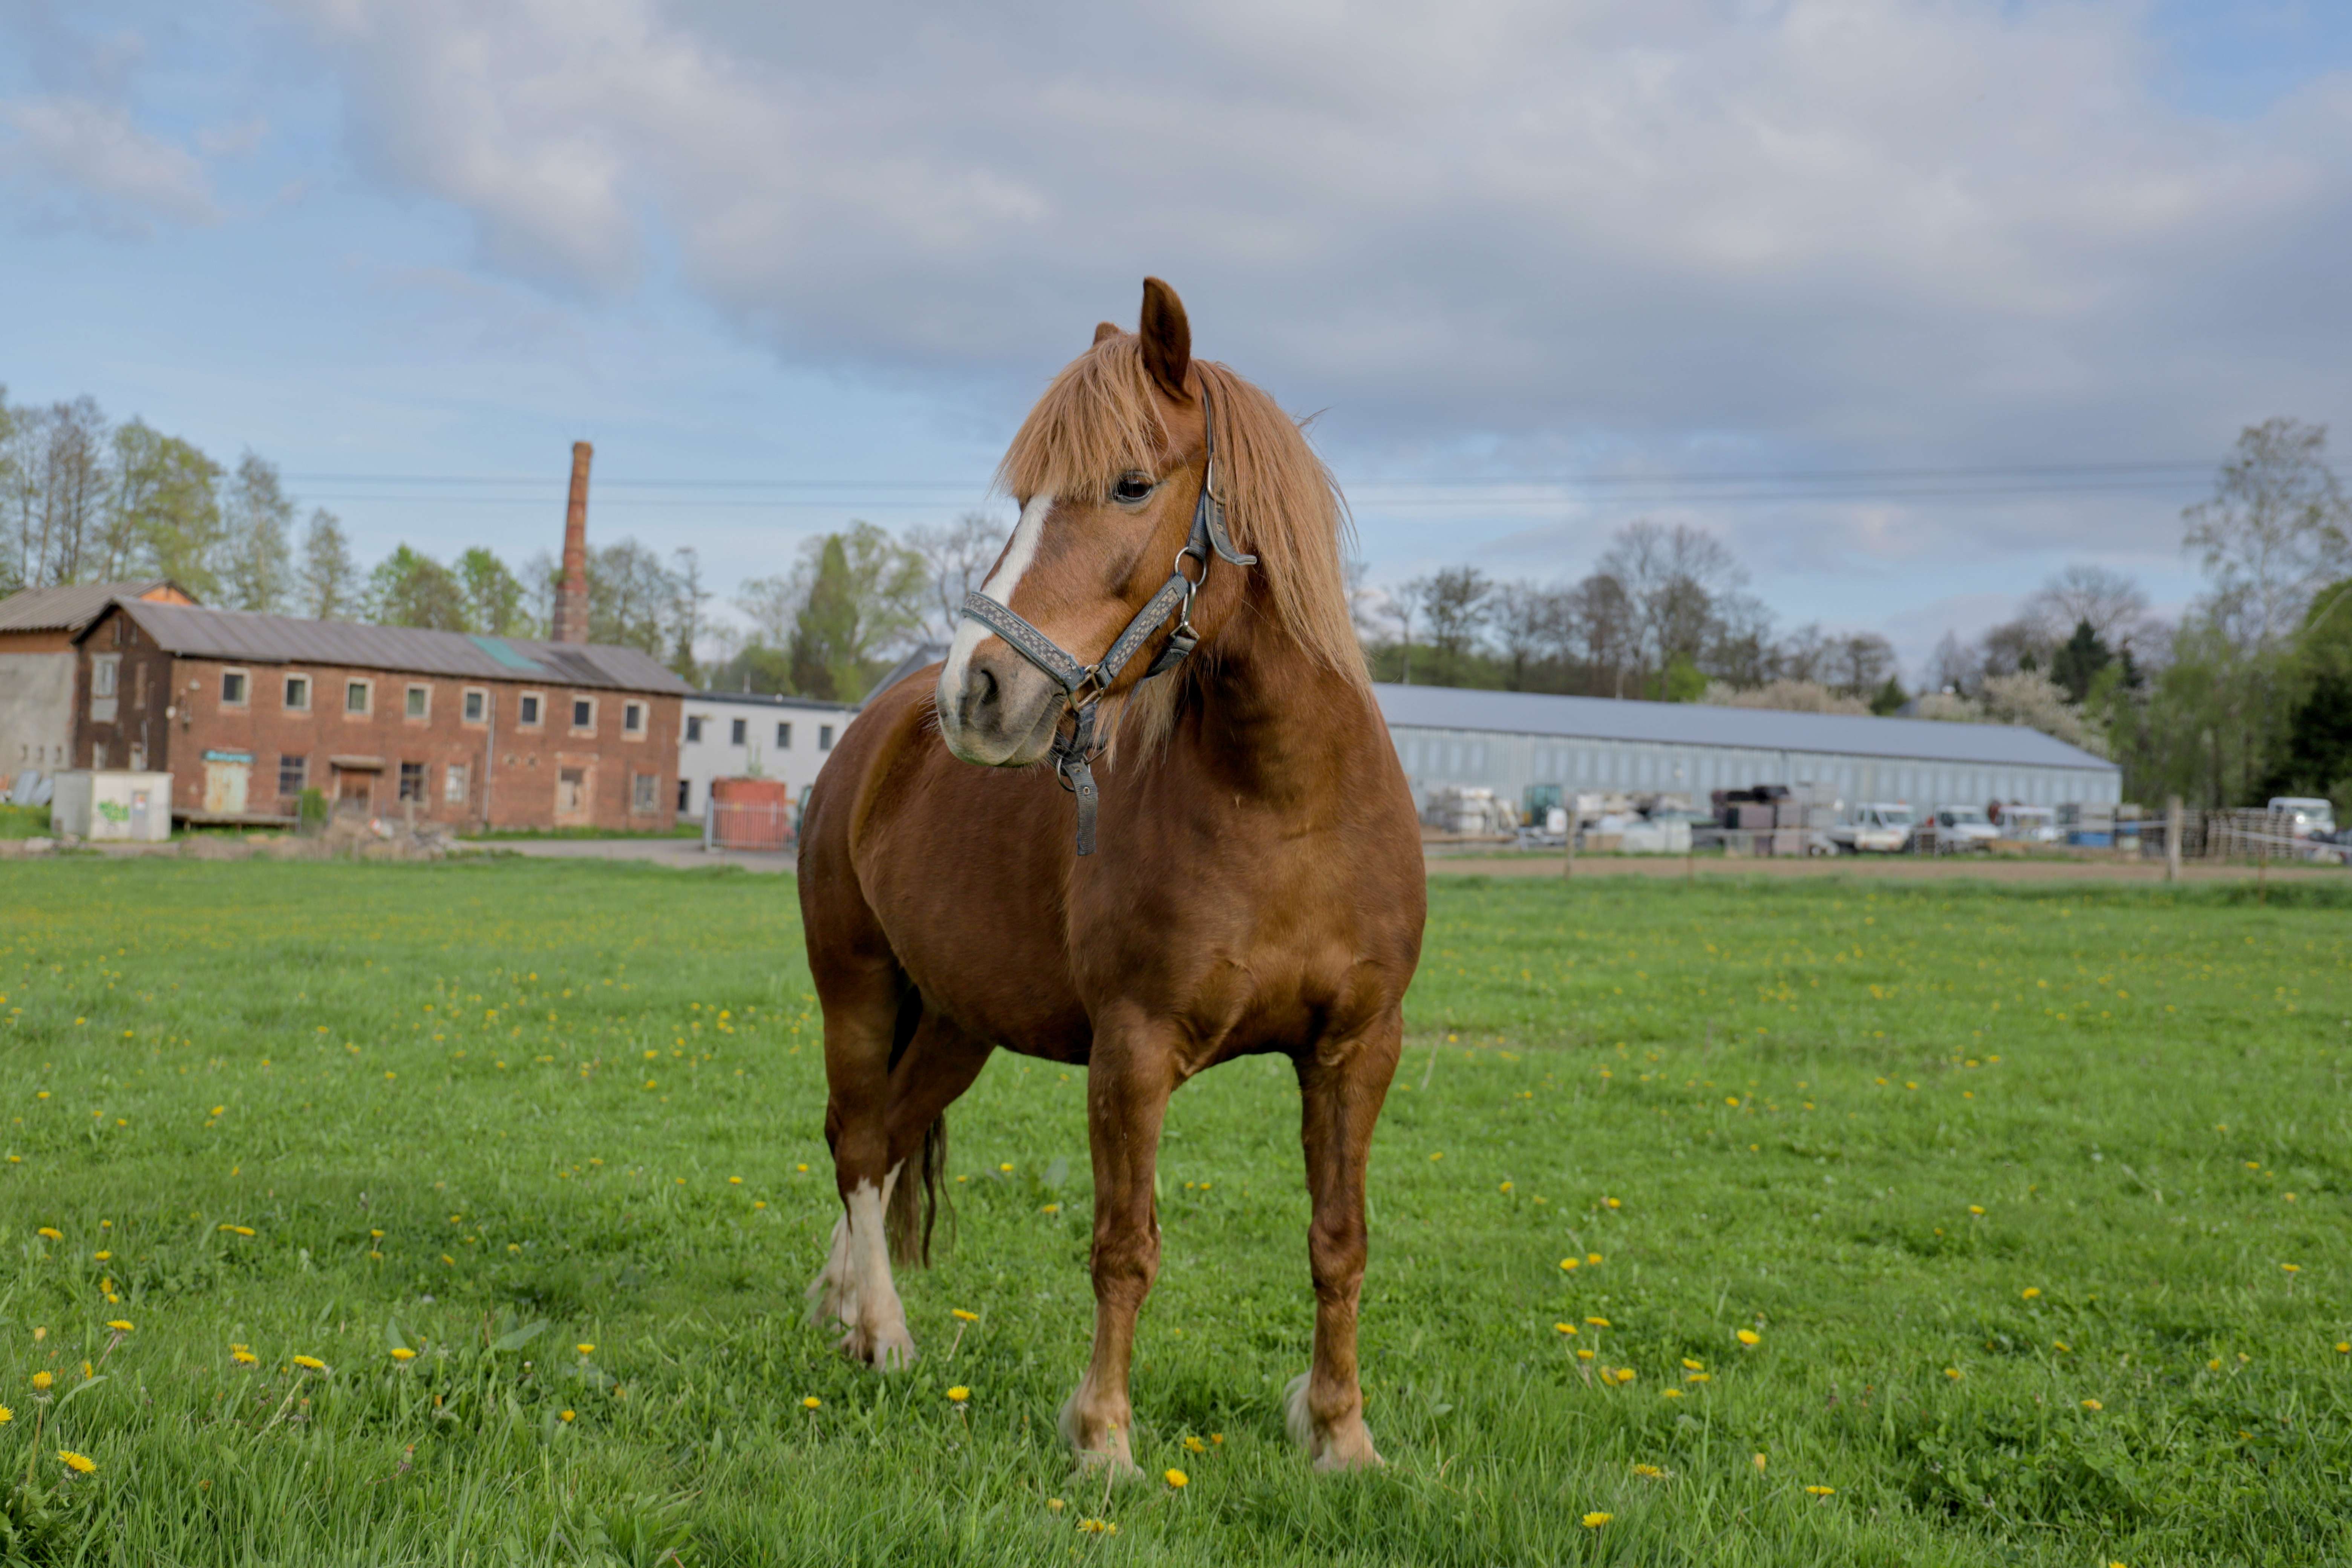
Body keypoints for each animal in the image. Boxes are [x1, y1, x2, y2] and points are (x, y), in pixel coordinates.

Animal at [799, 279, 1420, 1476]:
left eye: (1132, 482)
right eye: (1025, 495)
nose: (976, 694)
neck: (1287, 806)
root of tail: (873, 733)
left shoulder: (1356, 1049)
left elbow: (1340, 1241)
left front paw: (1341, 1435)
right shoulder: (1131, 1052)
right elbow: (1125, 1246)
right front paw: (1105, 1441)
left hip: (957, 1023)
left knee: (887, 1142)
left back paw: (844, 1304)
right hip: (855, 988)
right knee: (853, 1142)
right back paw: (880, 1334)